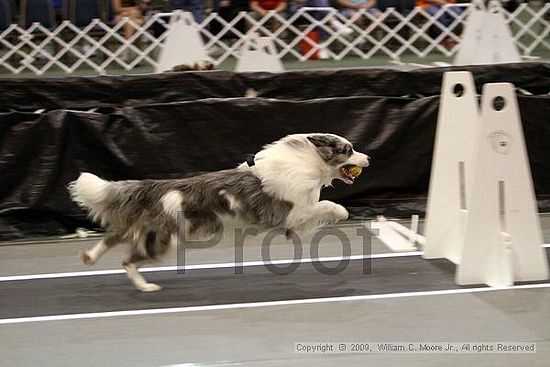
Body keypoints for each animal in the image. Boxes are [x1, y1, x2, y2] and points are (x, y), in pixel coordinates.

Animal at [69, 134, 370, 292]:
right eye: (349, 149)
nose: (369, 158)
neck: (309, 163)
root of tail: (157, 187)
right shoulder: (291, 211)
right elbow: (327, 206)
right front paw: (342, 212)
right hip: (166, 237)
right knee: (129, 260)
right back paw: (146, 287)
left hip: (145, 228)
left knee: (114, 238)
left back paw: (89, 257)